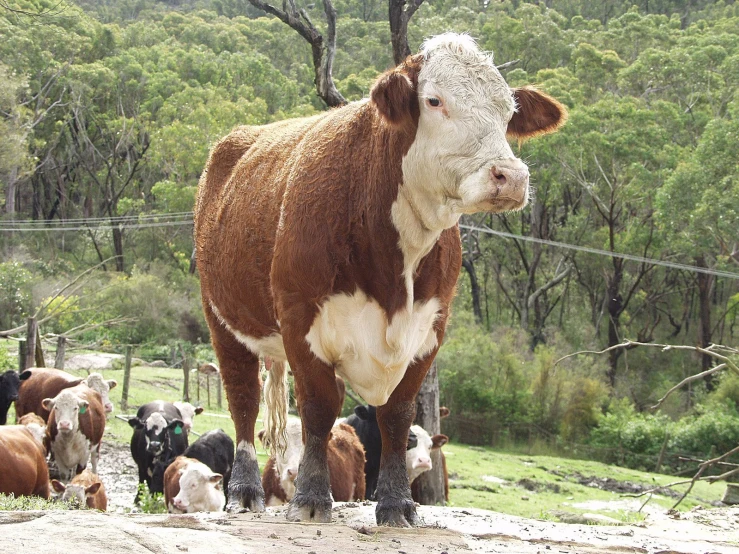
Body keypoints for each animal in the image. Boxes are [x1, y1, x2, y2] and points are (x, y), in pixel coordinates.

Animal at [195, 31, 568, 528]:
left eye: (509, 111)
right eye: (434, 100)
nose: (510, 176)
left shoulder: (430, 330)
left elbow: (397, 414)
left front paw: (396, 503)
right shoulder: (299, 318)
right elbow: (318, 408)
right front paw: (311, 497)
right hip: (222, 318)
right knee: (243, 400)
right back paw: (244, 490)